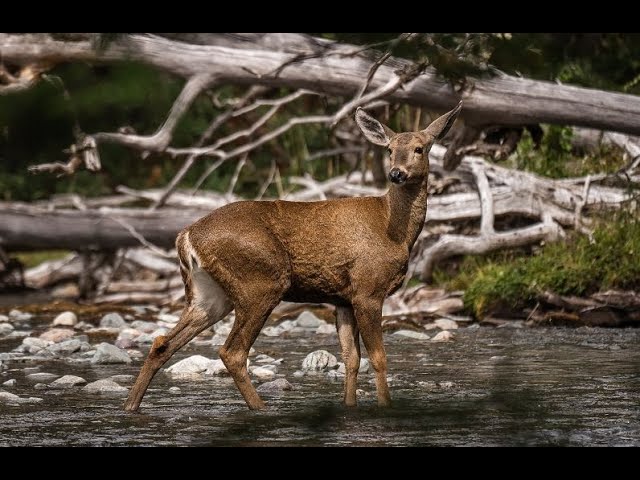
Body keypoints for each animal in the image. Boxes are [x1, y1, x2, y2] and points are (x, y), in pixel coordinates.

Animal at [122, 101, 462, 412]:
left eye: (419, 148)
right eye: (389, 149)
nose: (396, 173)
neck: (394, 228)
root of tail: (186, 235)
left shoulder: (342, 298)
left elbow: (351, 359)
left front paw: (349, 406)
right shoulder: (368, 289)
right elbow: (378, 358)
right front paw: (385, 407)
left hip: (209, 293)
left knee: (162, 343)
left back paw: (130, 407)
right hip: (261, 281)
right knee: (232, 352)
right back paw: (261, 409)